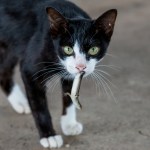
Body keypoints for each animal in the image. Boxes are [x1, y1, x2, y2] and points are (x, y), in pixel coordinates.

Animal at [0, 0, 117, 148]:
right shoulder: (30, 70)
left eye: (93, 50)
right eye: (68, 49)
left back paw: (20, 102)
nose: (81, 66)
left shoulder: (71, 74)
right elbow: (39, 105)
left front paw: (69, 124)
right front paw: (49, 136)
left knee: (4, 70)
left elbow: (70, 96)